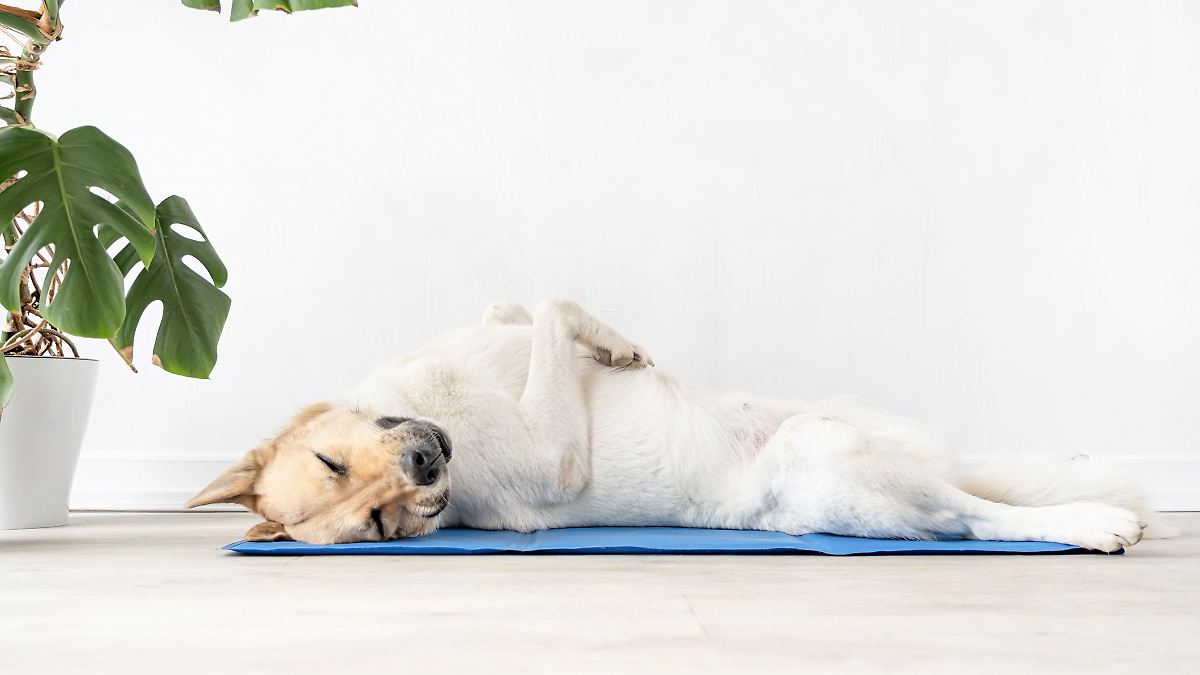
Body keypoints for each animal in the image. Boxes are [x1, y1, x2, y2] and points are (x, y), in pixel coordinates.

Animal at [187, 299, 1170, 549]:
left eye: (332, 461)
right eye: (383, 524)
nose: (429, 465)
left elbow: (527, 308)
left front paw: (612, 346)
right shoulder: (555, 456)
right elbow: (553, 304)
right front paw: (614, 344)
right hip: (839, 466)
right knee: (977, 515)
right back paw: (1095, 522)